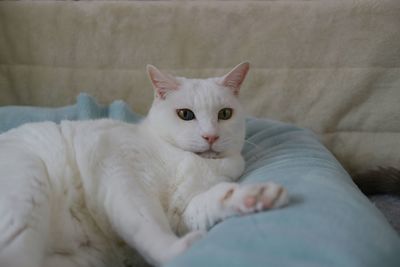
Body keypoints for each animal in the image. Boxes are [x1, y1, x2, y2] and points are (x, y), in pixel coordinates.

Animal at [0, 63, 288, 267]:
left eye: (225, 114)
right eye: (185, 114)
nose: (210, 136)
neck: (190, 161)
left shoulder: (186, 210)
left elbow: (210, 202)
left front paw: (254, 196)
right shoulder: (122, 177)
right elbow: (147, 225)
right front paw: (177, 250)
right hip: (27, 188)